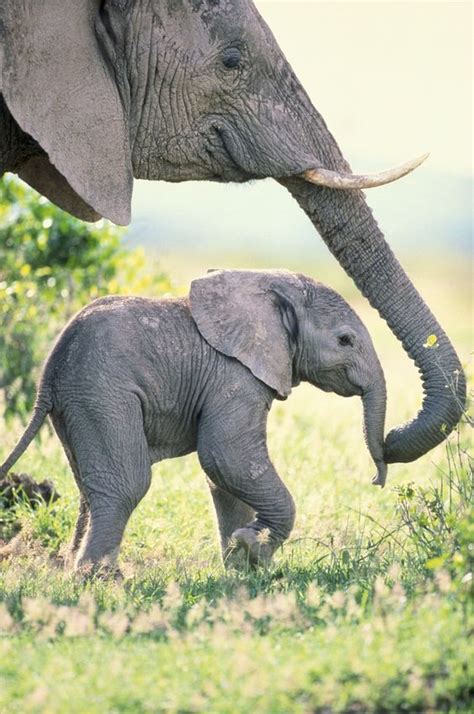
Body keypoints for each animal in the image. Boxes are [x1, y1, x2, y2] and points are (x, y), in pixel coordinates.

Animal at [0, 270, 386, 572]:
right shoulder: (234, 376)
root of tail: (49, 371)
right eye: (345, 340)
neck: (271, 286)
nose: (376, 479)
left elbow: (226, 477)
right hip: (102, 392)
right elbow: (226, 458)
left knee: (90, 488)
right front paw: (252, 548)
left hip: (76, 401)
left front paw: (243, 567)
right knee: (128, 483)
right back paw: (99, 580)